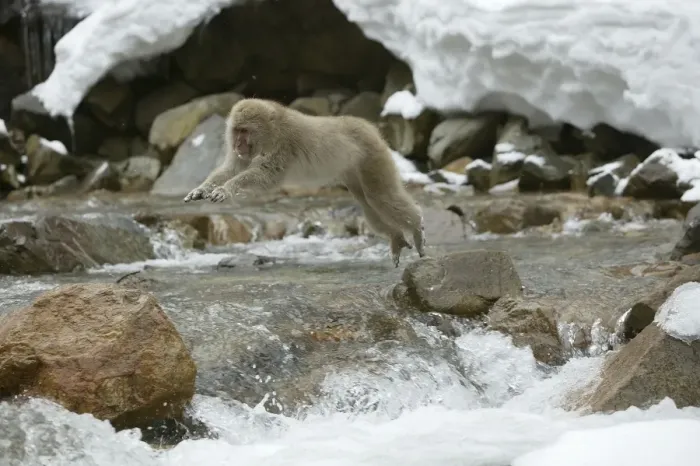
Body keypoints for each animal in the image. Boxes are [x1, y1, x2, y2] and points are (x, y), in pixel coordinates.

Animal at [183, 98, 426, 267]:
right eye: (236, 131)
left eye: (245, 131)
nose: (238, 144)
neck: (271, 131)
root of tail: (367, 126)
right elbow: (232, 168)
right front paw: (202, 189)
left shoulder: (283, 145)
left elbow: (267, 178)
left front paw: (226, 189)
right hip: (354, 170)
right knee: (367, 202)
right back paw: (396, 237)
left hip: (373, 157)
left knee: (381, 197)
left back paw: (416, 228)